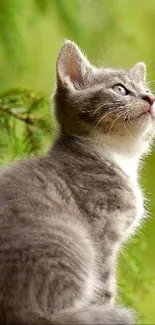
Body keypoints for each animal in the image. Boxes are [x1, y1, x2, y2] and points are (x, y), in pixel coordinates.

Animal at [0, 39, 155, 322]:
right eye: (120, 89)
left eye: (147, 90)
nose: (150, 98)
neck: (117, 157)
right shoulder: (102, 233)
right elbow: (105, 287)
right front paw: (106, 307)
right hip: (72, 241)